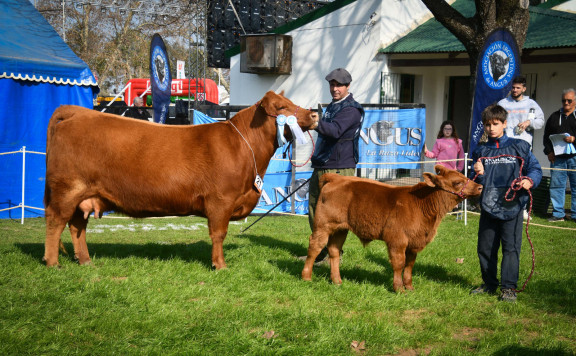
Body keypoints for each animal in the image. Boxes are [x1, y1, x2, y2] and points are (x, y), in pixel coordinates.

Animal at [44, 90, 320, 268]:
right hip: (67, 190)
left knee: (77, 226)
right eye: (281, 108)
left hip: (84, 195)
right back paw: (53, 262)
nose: (314, 115)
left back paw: (85, 261)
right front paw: (219, 265)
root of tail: (77, 113)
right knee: (55, 222)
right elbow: (218, 234)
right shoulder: (220, 200)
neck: (244, 148)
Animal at [302, 165, 482, 290]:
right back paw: (306, 277)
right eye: (457, 182)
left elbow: (409, 265)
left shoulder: (414, 242)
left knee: (334, 251)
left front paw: (409, 287)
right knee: (315, 247)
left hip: (340, 229)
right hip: (323, 226)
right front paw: (399, 288)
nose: (480, 187)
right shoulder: (397, 239)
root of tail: (336, 178)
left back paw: (337, 281)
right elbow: (399, 263)